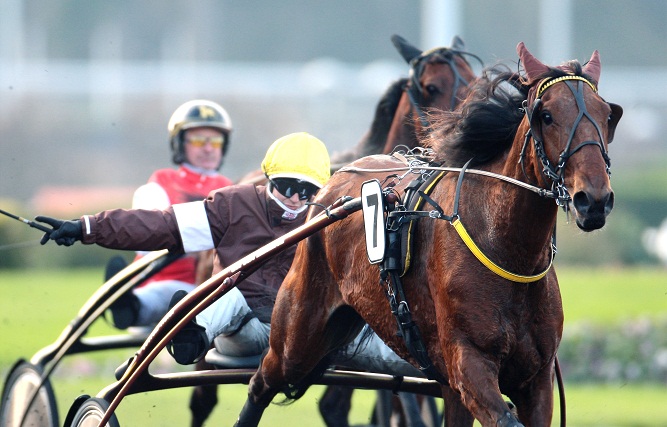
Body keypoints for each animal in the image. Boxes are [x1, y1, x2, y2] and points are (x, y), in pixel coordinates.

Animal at [234, 42, 620, 427]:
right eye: (547, 115)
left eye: (607, 115)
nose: (593, 199)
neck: (508, 248)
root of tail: (334, 183)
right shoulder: (469, 362)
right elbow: (502, 415)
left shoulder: (535, 379)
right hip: (299, 334)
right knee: (264, 381)